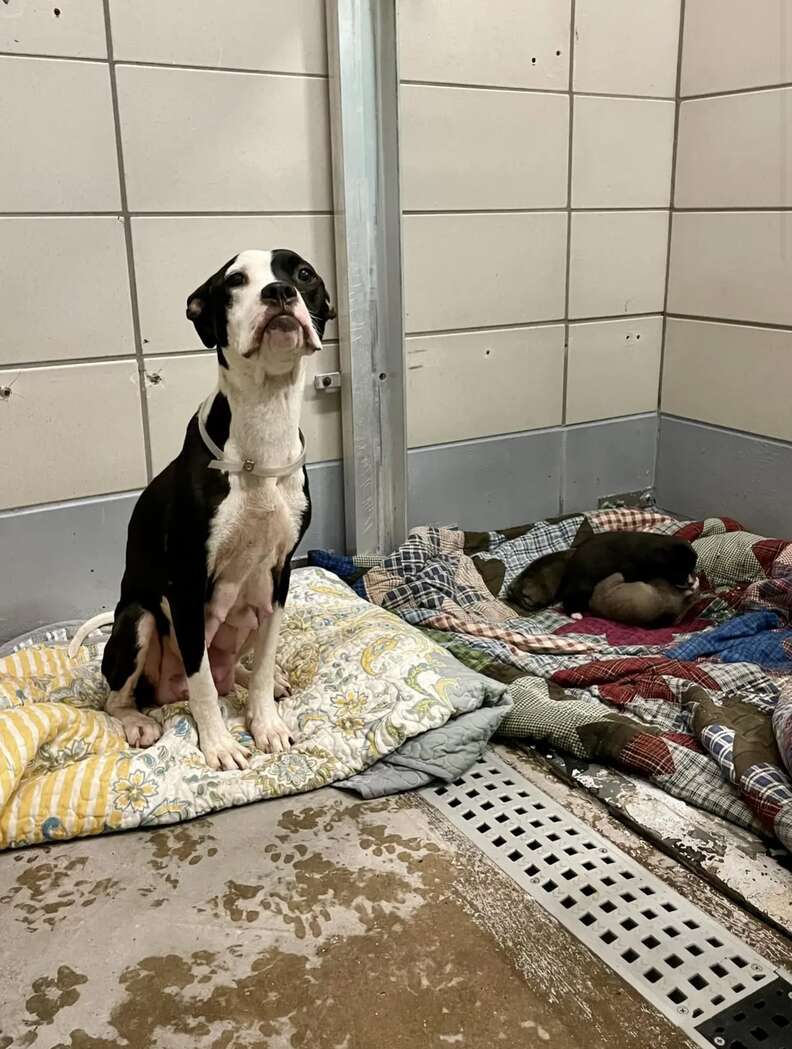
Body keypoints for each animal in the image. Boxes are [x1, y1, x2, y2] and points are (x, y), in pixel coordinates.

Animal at [69, 246, 335, 772]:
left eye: (303, 273)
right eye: (235, 281)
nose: (279, 292)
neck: (262, 430)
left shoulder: (279, 576)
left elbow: (263, 662)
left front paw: (266, 723)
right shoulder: (188, 586)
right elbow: (203, 684)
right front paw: (219, 744)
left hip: (250, 610)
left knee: (235, 671)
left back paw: (257, 682)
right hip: (138, 619)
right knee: (120, 697)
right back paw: (137, 720)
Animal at [562, 532, 696, 612]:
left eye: (692, 568)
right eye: (677, 571)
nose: (690, 583)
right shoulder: (632, 572)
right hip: (583, 585)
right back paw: (576, 613)